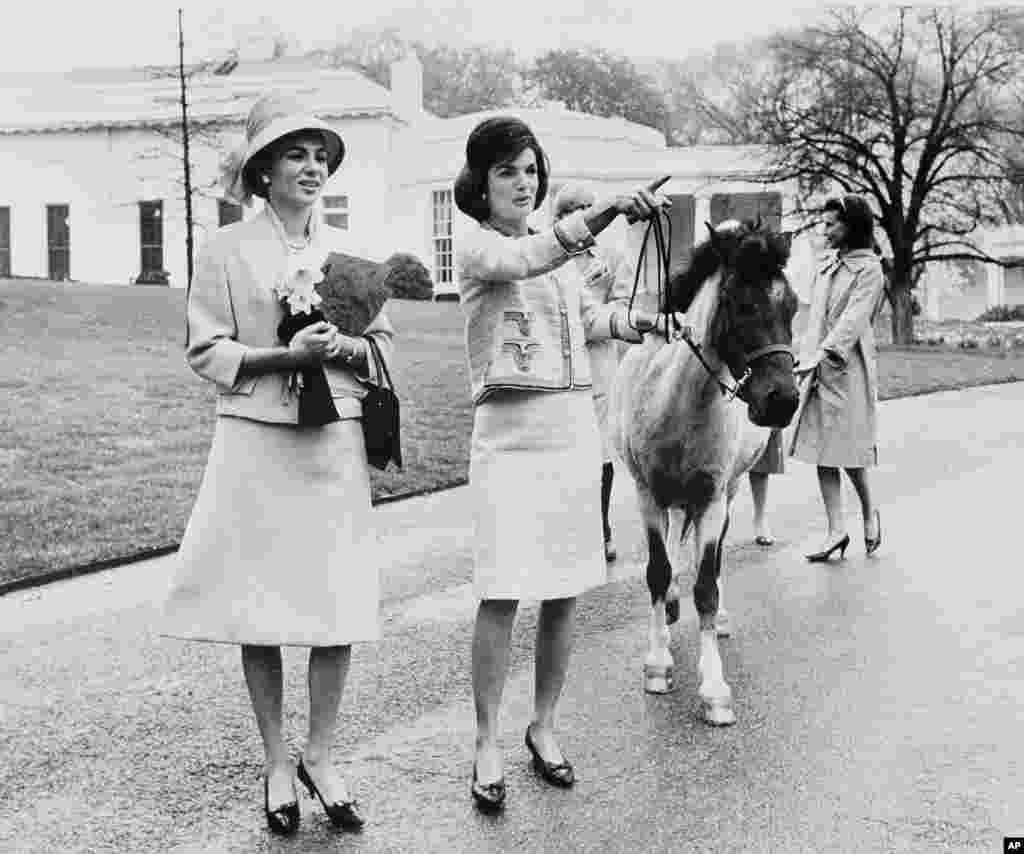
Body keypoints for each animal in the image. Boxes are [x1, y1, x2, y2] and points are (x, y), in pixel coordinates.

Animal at [606, 216, 798, 720]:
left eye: (791, 305)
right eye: (741, 303)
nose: (783, 401)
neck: (677, 407)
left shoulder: (711, 498)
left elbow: (707, 585)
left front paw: (713, 688)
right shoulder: (648, 495)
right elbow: (657, 572)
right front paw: (658, 664)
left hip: (727, 494)